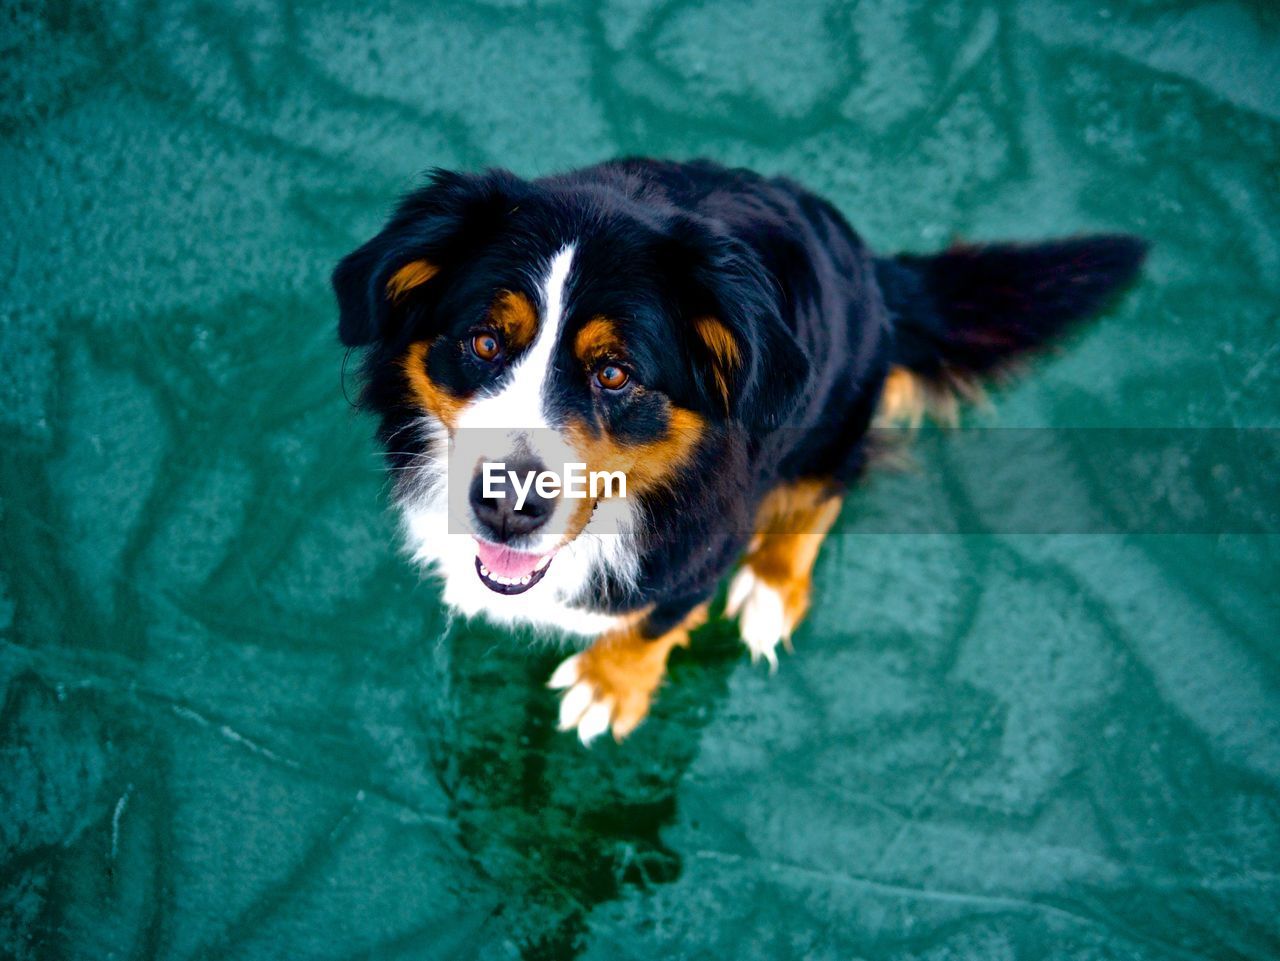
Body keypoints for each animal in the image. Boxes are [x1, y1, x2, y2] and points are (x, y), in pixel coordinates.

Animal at [335, 158, 1146, 742]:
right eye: (484, 341)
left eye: (614, 372)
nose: (509, 506)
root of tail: (875, 272)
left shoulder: (703, 551)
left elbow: (654, 624)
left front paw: (608, 687)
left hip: (833, 422)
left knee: (825, 491)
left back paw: (771, 589)